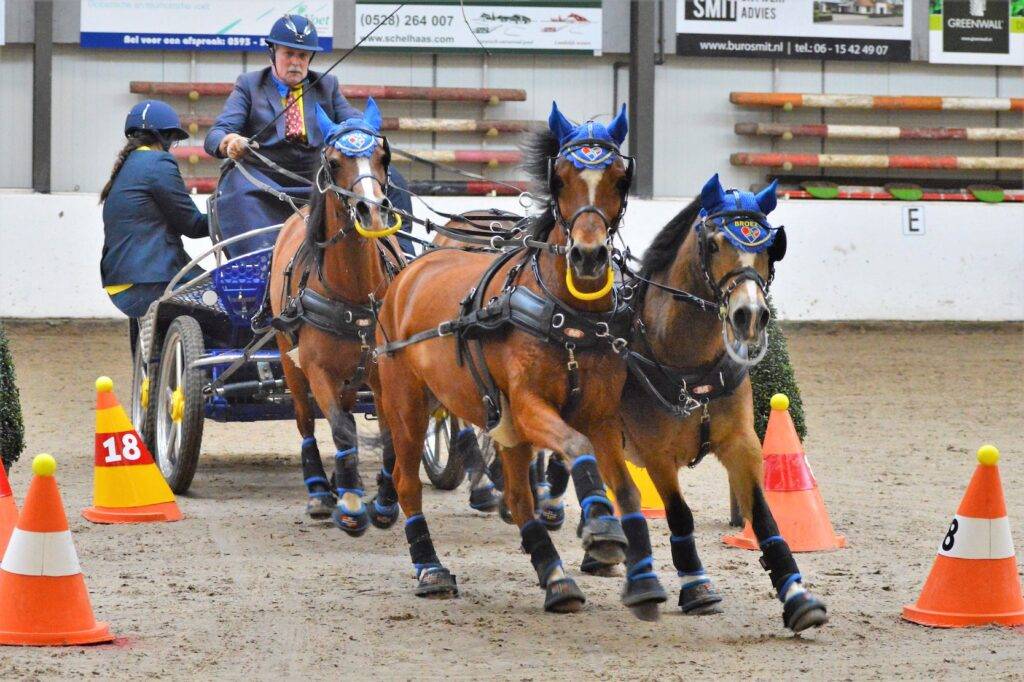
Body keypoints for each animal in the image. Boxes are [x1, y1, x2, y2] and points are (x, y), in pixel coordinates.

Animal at [268, 98, 405, 536]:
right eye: (333, 160)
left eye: (383, 156)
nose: (371, 210)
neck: (355, 293)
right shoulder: (316, 369)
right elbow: (342, 431)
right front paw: (350, 504)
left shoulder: (382, 371)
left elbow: (389, 436)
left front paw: (383, 501)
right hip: (289, 358)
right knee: (306, 420)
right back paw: (319, 490)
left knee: (343, 409)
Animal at [372, 102, 668, 618]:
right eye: (562, 178)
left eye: (618, 178)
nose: (588, 257)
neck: (567, 317)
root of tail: (410, 271)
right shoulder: (531, 407)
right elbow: (575, 446)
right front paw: (602, 529)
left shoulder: (599, 414)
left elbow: (624, 487)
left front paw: (639, 574)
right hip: (407, 405)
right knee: (407, 483)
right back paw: (431, 569)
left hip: (498, 422)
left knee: (518, 494)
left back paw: (555, 577)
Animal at [618, 173, 828, 633]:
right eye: (713, 244)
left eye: (770, 247)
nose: (749, 315)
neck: (687, 364)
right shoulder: (656, 454)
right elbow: (680, 515)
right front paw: (696, 586)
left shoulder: (741, 442)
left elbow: (764, 516)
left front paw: (796, 595)